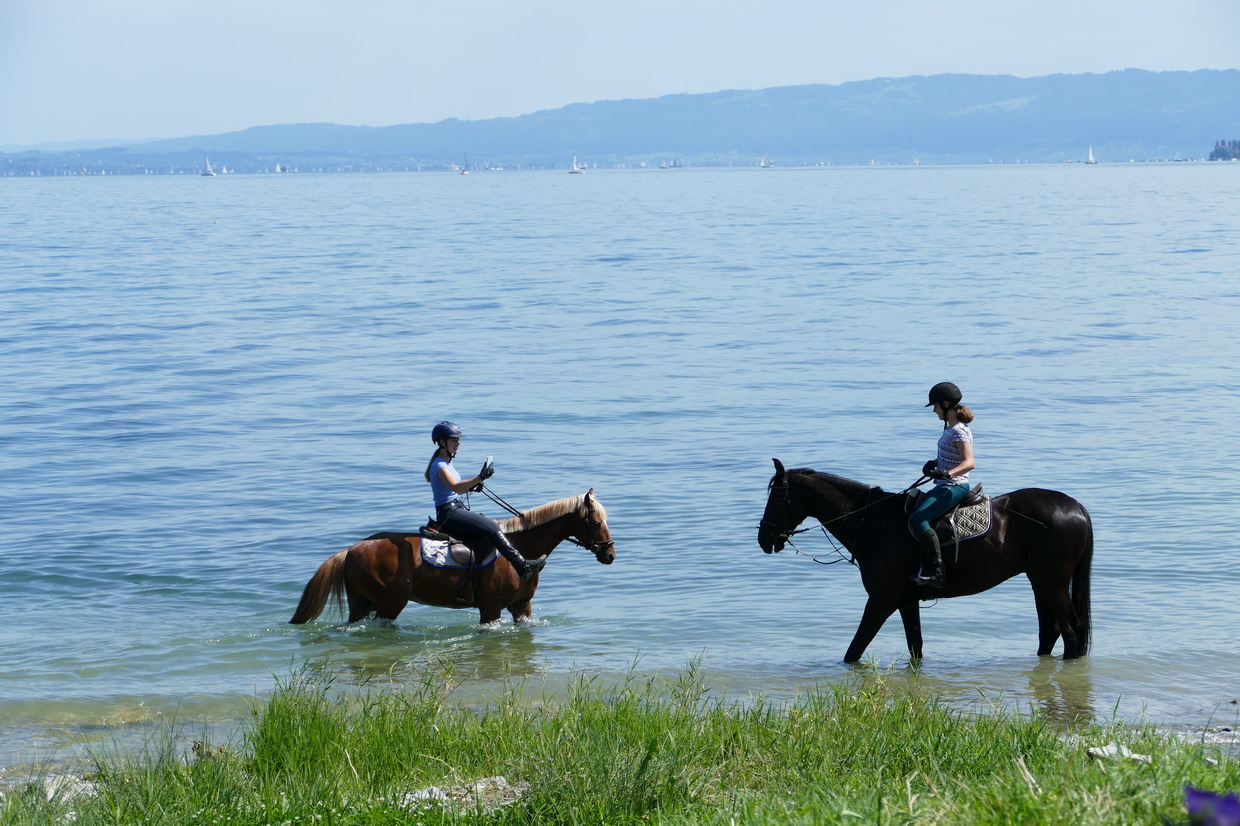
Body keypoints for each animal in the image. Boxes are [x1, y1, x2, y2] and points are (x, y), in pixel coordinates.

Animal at [291, 488, 620, 625]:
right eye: (595, 522)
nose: (610, 554)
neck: (519, 551)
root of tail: (350, 550)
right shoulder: (491, 609)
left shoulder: (521, 607)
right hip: (388, 604)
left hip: (362, 604)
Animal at [753, 458, 1096, 659]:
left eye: (777, 497)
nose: (764, 539)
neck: (876, 524)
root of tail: (1075, 506)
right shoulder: (906, 600)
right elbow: (915, 646)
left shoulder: (882, 599)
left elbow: (856, 647)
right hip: (1040, 581)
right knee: (1050, 631)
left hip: (1052, 583)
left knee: (1071, 631)